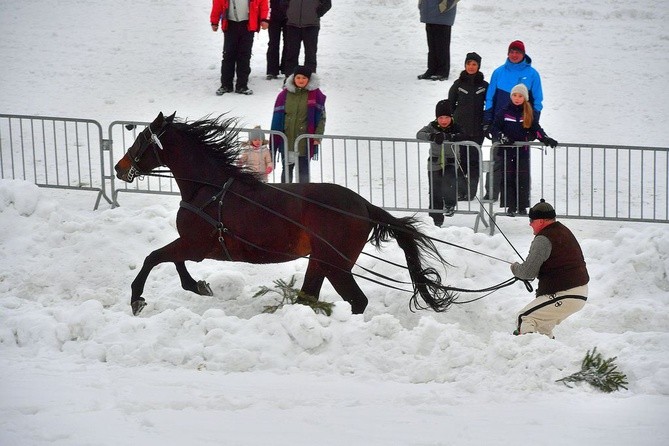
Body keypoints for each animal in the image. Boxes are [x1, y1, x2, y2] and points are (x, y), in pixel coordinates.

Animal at [115, 112, 460, 314]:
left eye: (142, 139)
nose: (119, 168)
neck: (208, 189)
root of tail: (365, 206)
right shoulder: (194, 246)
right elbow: (172, 262)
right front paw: (199, 285)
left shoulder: (196, 244)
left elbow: (154, 258)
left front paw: (136, 298)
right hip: (320, 260)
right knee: (310, 295)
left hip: (335, 263)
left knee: (357, 300)